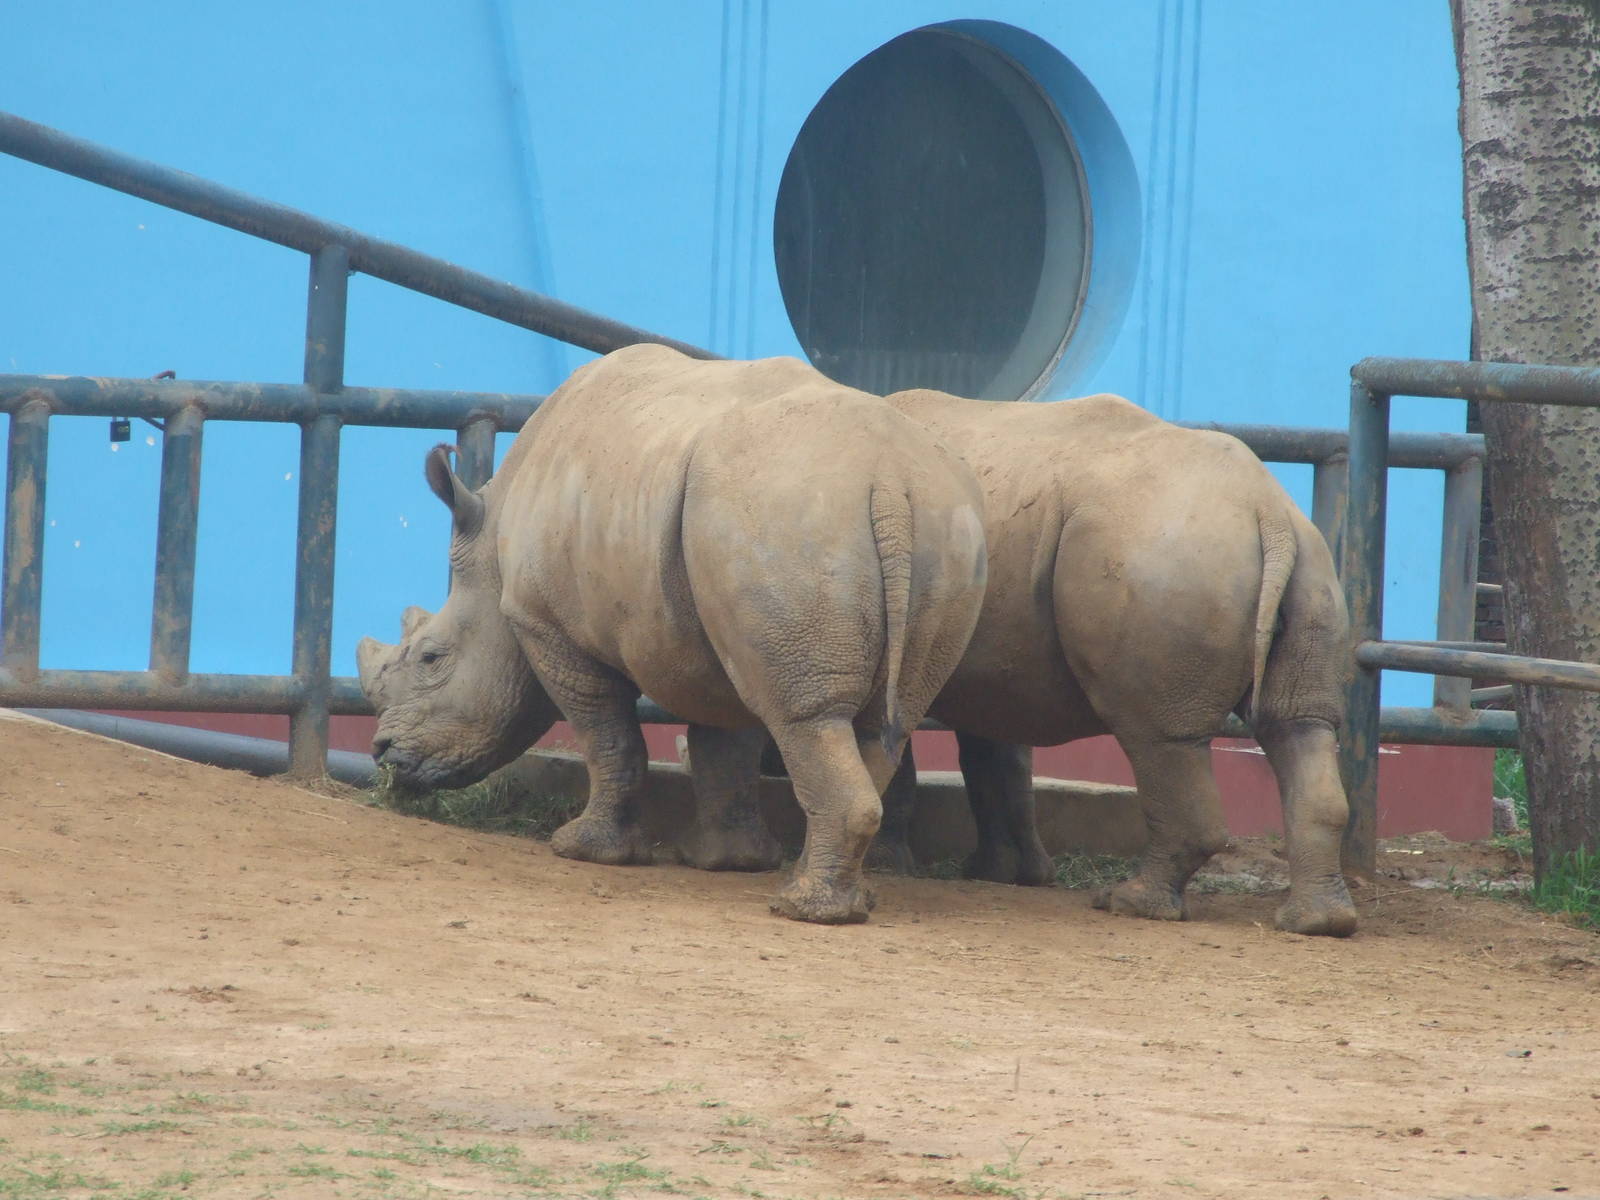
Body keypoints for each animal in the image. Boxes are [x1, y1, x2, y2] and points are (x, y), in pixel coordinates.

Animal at [356, 344, 987, 924]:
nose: (382, 754)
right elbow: (723, 743)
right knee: (879, 724)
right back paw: (833, 895)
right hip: (924, 529)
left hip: (783, 519)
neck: (491, 552)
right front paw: (725, 862)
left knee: (805, 718)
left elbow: (609, 736)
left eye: (431, 658)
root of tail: (890, 480)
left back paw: (803, 909)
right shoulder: (717, 626)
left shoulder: (547, 626)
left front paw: (585, 850)